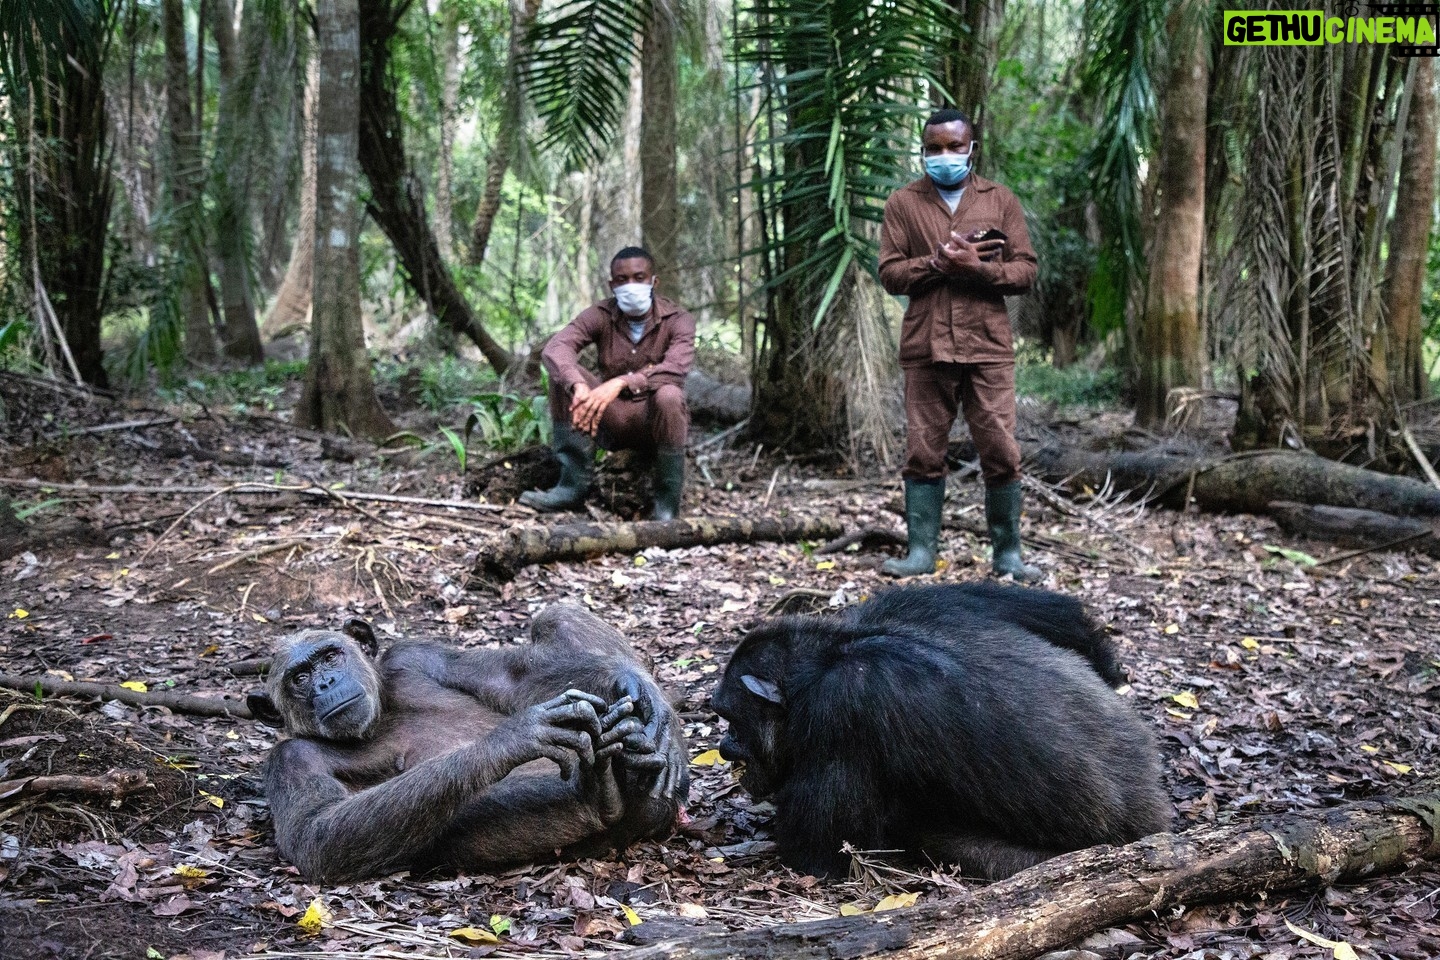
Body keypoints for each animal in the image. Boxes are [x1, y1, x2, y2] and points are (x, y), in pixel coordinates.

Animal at [246, 605, 689, 882]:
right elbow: (317, 833)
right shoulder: (291, 758)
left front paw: (636, 688)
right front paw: (514, 738)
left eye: (330, 656)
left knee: (554, 616)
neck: (378, 718)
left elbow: (507, 679)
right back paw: (606, 787)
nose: (325, 683)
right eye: (299, 678)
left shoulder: (412, 656)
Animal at [710, 583, 1169, 881]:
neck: (830, 656)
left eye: (731, 718)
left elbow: (814, 850)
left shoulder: (838, 716)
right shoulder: (921, 599)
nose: (725, 744)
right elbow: (1061, 616)